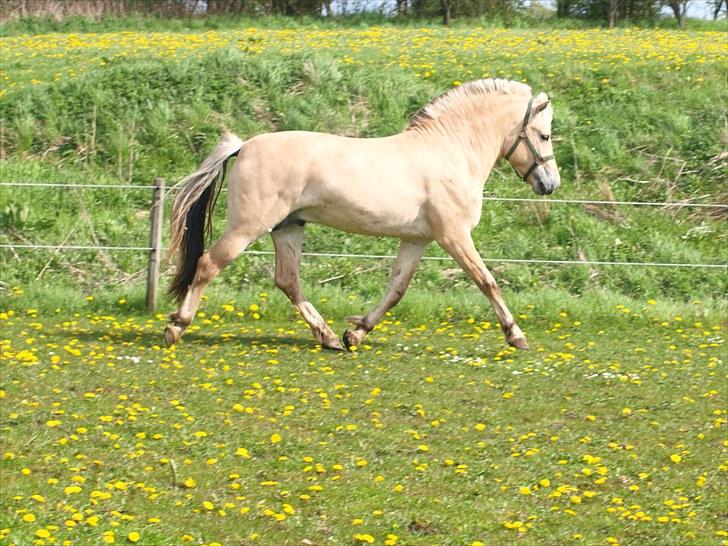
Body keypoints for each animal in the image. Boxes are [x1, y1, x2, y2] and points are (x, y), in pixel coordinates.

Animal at [166, 77, 564, 348]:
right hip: (248, 226)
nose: (550, 184)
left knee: (288, 281)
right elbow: (487, 281)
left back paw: (327, 336)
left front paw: (355, 333)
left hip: (289, 227)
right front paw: (516, 336)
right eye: (544, 136)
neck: (452, 150)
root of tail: (244, 145)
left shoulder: (417, 240)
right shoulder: (454, 235)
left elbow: (396, 290)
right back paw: (176, 326)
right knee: (208, 264)